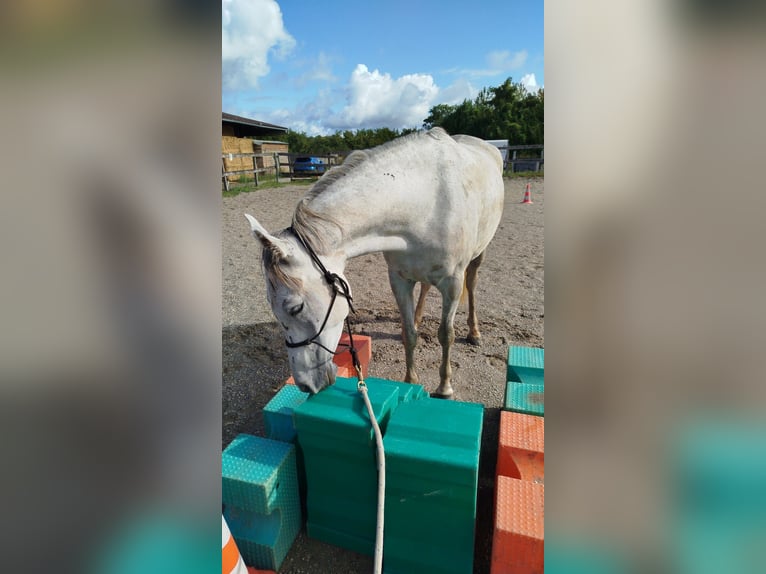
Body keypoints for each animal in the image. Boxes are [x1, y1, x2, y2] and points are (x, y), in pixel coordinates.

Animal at [245, 127, 504, 398]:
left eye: (295, 308)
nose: (305, 385)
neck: (424, 203)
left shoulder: (452, 284)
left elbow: (446, 335)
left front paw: (444, 388)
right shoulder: (399, 279)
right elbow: (409, 333)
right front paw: (410, 382)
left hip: (479, 254)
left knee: (472, 284)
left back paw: (474, 332)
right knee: (424, 287)